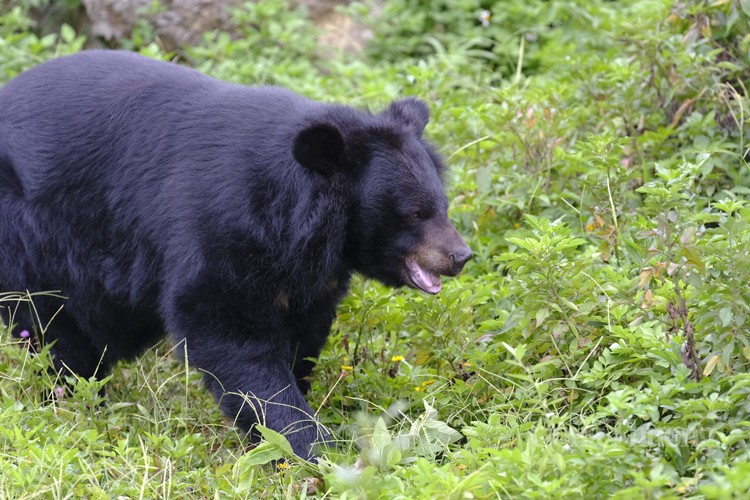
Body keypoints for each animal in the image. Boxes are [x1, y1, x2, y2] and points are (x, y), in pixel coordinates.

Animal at [0, 50, 470, 460]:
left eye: (442, 205)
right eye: (414, 213)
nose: (461, 256)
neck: (302, 220)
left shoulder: (308, 277)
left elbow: (303, 333)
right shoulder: (221, 231)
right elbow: (225, 329)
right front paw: (308, 445)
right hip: (30, 232)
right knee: (51, 322)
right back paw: (70, 394)